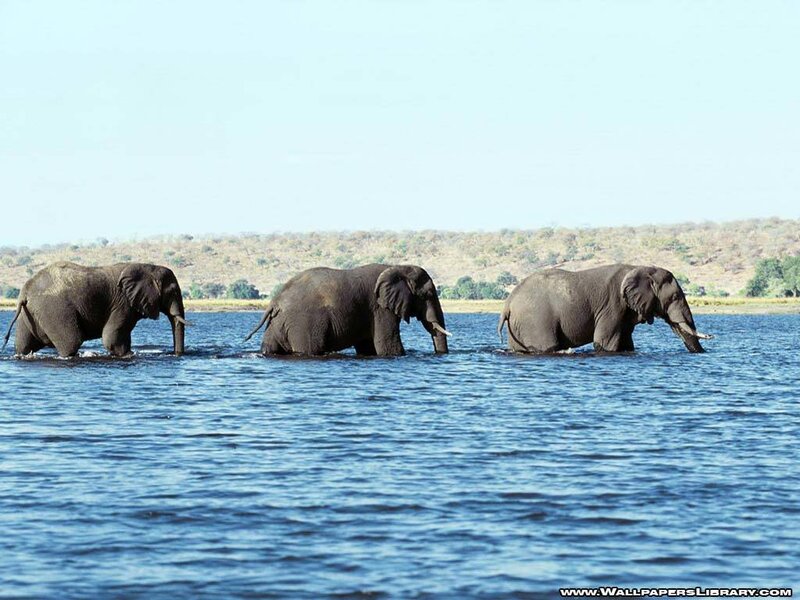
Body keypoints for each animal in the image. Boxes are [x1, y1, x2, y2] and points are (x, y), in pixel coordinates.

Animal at [2, 261, 188, 357]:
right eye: (173, 291)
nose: (177, 354)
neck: (147, 267)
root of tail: (25, 290)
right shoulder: (123, 304)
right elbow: (111, 338)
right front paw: (128, 355)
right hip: (54, 310)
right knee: (72, 342)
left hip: (29, 314)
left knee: (23, 345)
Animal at [244, 264, 450, 356]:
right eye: (428, 294)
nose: (439, 355)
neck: (399, 267)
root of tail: (275, 301)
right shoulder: (380, 308)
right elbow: (388, 346)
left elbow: (368, 347)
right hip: (303, 324)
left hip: (278, 324)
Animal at [498, 264, 712, 354]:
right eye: (674, 297)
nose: (702, 353)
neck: (642, 268)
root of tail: (508, 304)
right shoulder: (613, 305)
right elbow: (605, 342)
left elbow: (626, 343)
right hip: (535, 320)